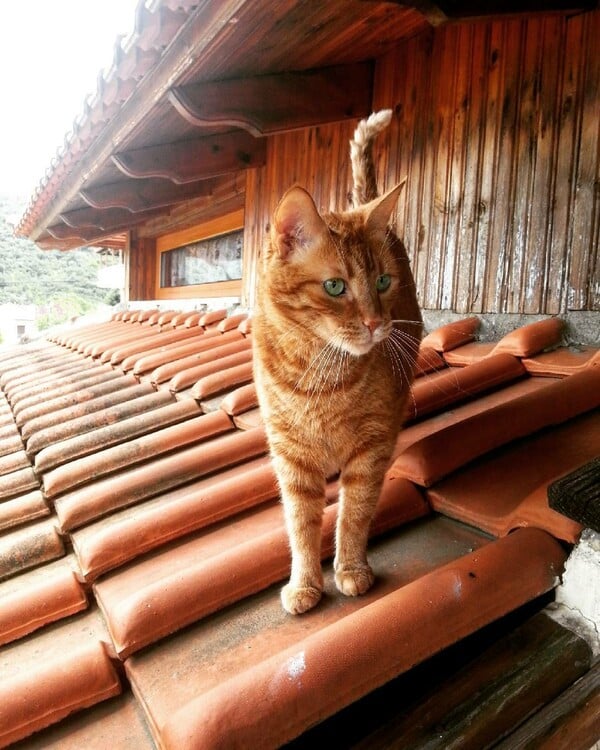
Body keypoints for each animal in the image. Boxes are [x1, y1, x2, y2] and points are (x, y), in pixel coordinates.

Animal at [254, 111, 422, 616]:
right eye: (335, 287)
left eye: (383, 281)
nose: (376, 323)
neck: (318, 373)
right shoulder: (291, 459)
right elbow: (301, 526)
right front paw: (305, 583)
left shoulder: (370, 452)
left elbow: (353, 515)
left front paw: (350, 568)